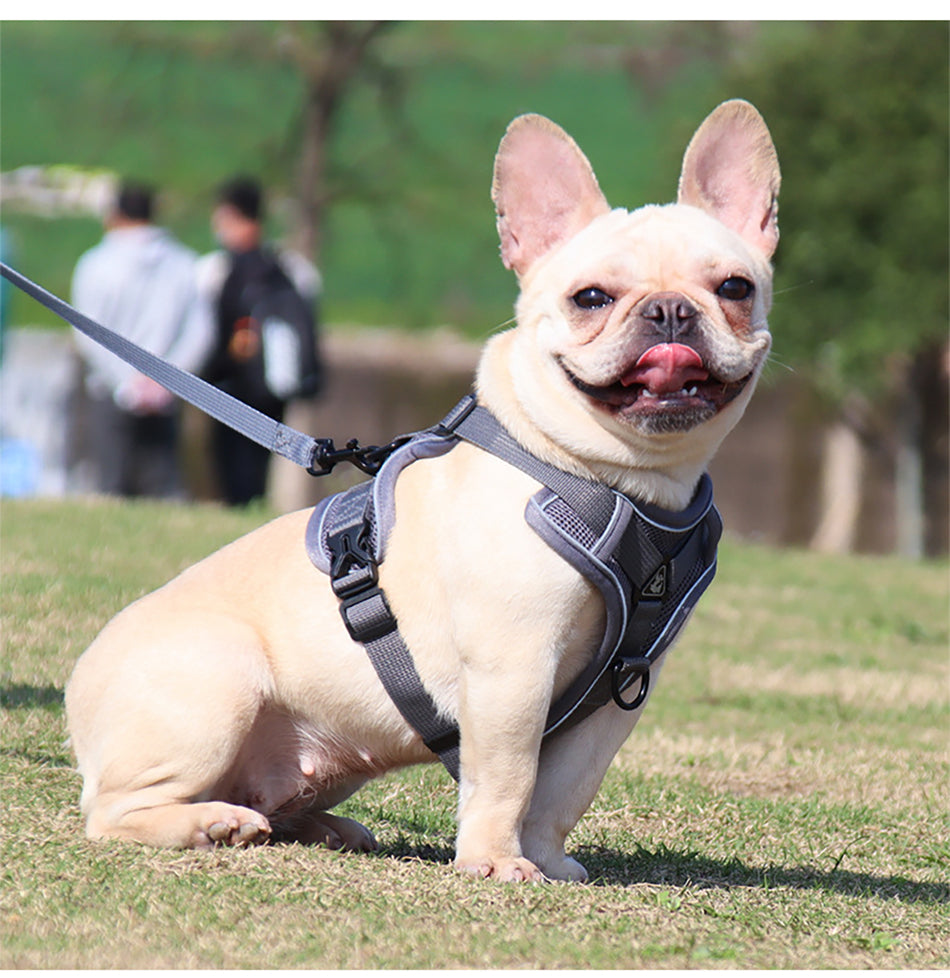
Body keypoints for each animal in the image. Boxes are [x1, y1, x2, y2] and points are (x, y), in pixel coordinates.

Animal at [65, 95, 780, 880]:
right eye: (591, 298)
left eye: (735, 289)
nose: (671, 311)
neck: (618, 479)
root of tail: (75, 688)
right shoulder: (513, 668)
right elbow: (510, 776)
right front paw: (496, 862)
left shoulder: (618, 693)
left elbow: (563, 789)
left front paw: (546, 860)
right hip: (218, 685)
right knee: (114, 812)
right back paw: (212, 824)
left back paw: (321, 827)